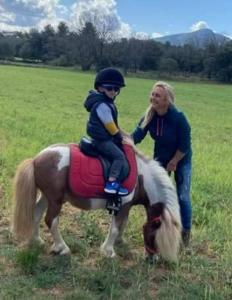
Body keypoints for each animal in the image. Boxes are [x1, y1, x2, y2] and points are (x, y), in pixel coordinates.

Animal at [12, 142, 182, 262]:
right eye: (154, 236)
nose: (153, 259)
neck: (141, 178)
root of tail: (35, 160)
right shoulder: (122, 206)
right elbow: (114, 229)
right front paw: (108, 251)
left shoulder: (125, 207)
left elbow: (122, 225)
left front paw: (119, 242)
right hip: (55, 200)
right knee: (51, 221)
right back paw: (62, 248)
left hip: (47, 197)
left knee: (36, 214)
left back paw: (37, 240)